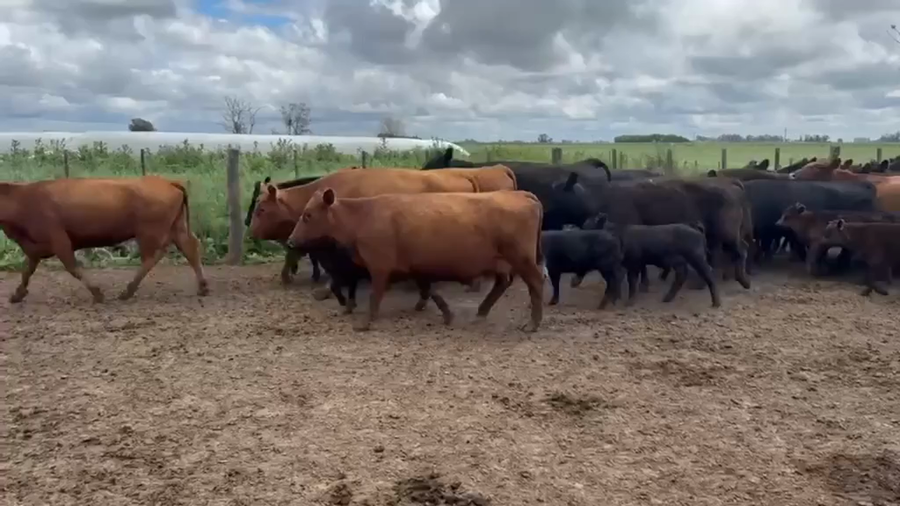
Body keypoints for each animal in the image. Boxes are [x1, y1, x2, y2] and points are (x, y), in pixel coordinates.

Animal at [0, 176, 208, 303]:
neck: (24, 199)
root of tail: (168, 182)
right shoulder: (34, 248)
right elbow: (26, 271)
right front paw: (17, 295)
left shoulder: (60, 241)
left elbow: (73, 268)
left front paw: (97, 293)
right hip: (176, 228)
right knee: (190, 248)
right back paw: (203, 287)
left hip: (149, 233)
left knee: (152, 258)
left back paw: (127, 291)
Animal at [286, 189, 546, 332]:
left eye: (307, 215)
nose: (290, 241)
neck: (364, 215)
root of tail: (521, 194)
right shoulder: (414, 265)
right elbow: (429, 289)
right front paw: (446, 313)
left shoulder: (379, 267)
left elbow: (375, 295)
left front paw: (366, 322)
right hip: (501, 260)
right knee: (503, 282)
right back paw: (482, 311)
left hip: (521, 258)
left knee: (535, 282)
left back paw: (533, 324)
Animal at [583, 213, 720, 307]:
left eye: (589, 225)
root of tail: (692, 225)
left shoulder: (634, 263)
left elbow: (632, 281)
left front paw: (629, 302)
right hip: (681, 261)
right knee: (682, 276)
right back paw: (666, 299)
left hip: (696, 257)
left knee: (709, 274)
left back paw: (716, 303)